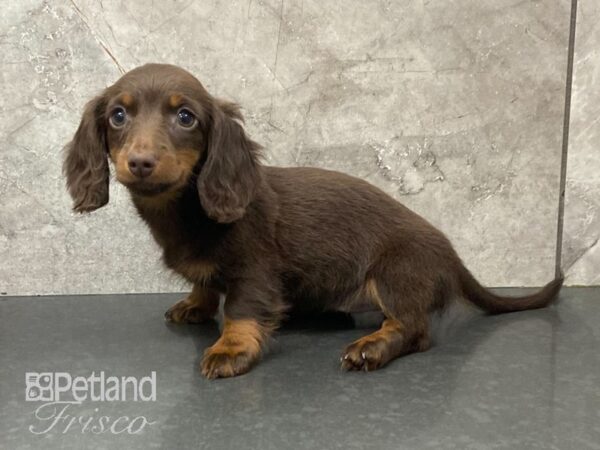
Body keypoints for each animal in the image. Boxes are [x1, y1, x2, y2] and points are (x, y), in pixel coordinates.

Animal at [63, 63, 564, 378]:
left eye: (185, 116)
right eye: (118, 115)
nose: (141, 162)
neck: (185, 209)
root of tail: (452, 255)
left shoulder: (255, 271)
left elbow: (241, 310)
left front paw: (230, 348)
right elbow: (206, 284)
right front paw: (196, 304)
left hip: (395, 271)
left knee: (413, 328)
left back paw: (371, 347)